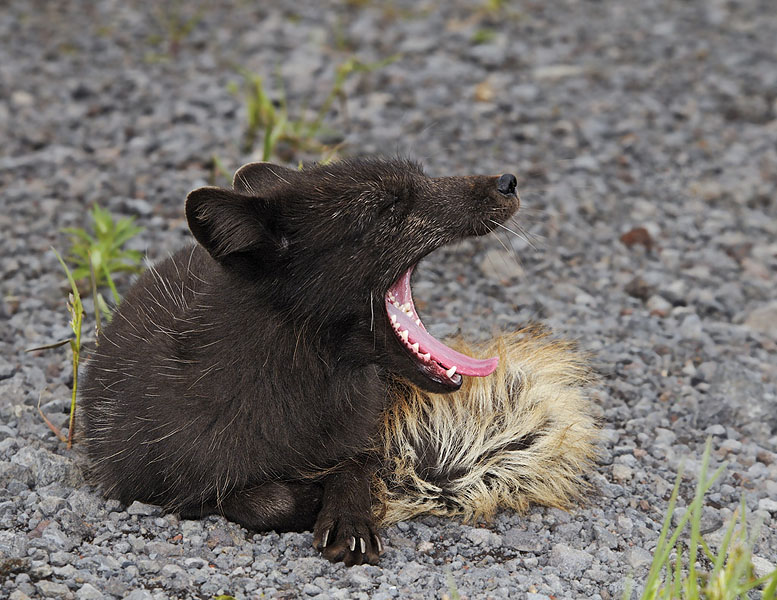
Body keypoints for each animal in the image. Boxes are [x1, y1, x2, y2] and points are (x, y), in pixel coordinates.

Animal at [80, 158, 600, 564]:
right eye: (386, 208)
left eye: (419, 177)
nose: (507, 181)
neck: (297, 402)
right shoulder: (161, 488)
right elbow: (263, 499)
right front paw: (308, 497)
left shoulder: (369, 437)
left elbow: (354, 469)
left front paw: (348, 519)